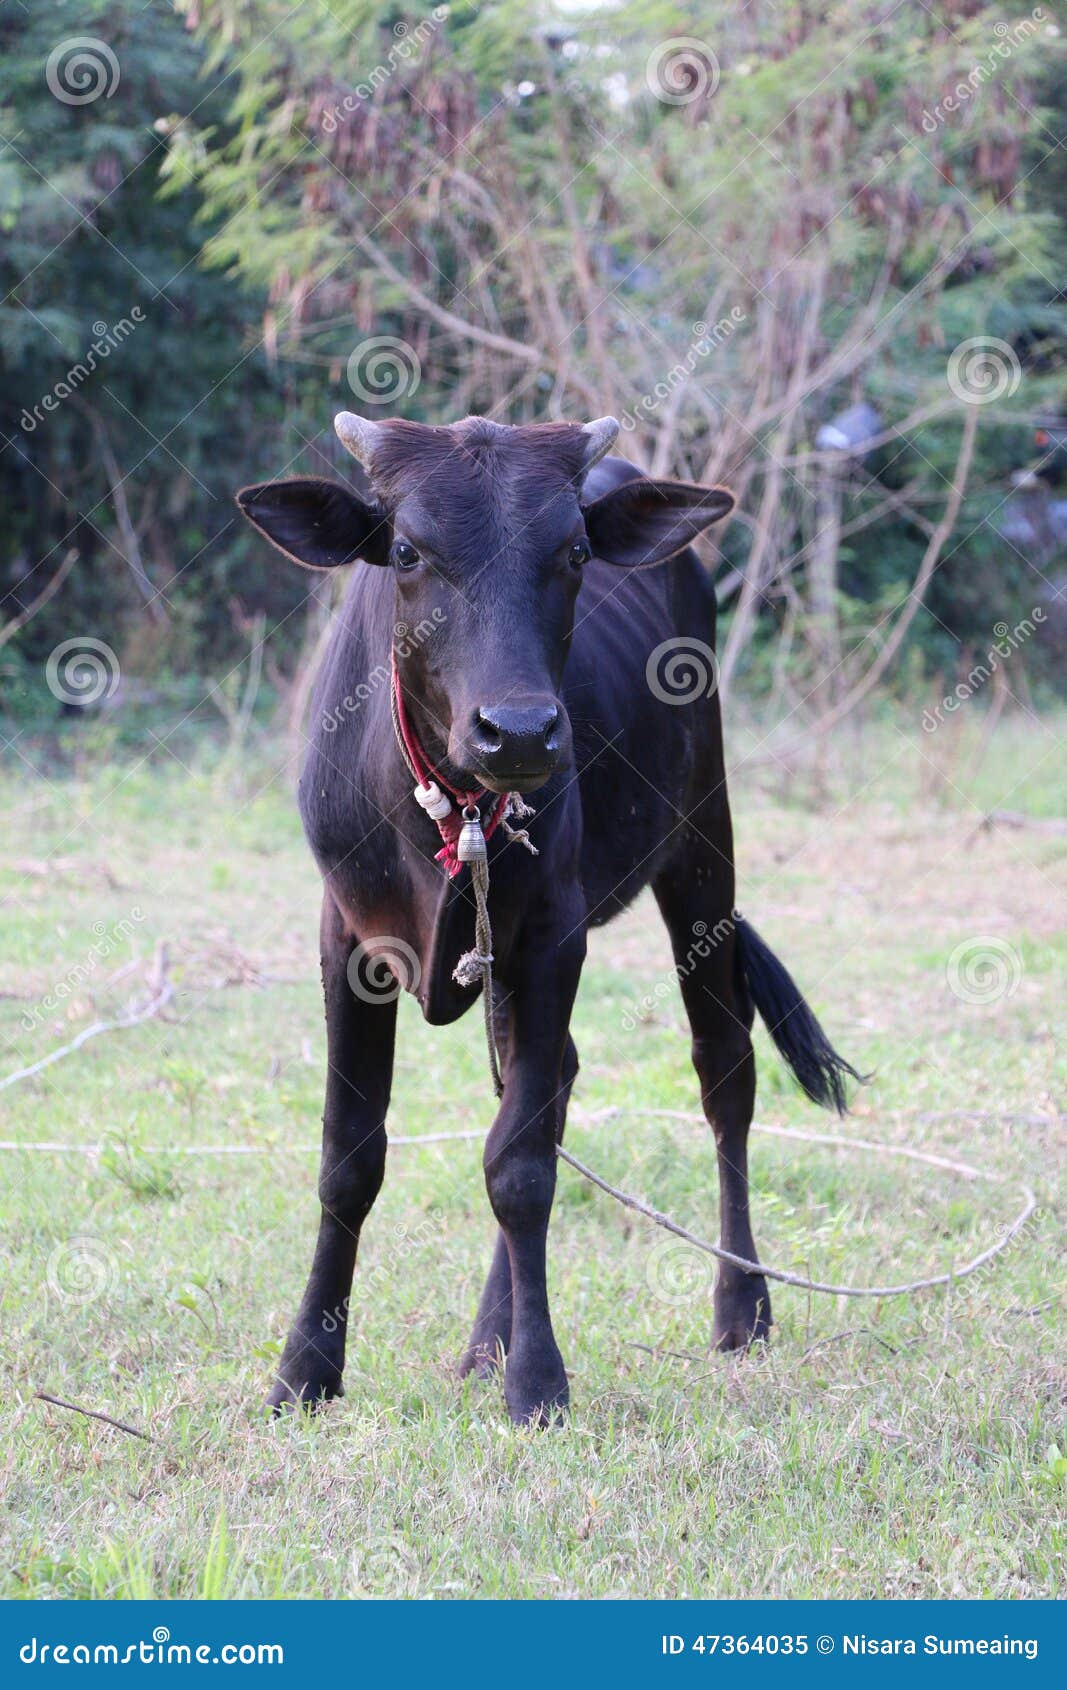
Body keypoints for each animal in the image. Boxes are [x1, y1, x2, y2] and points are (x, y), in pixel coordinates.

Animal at [235, 412, 859, 1426]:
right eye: (406, 551)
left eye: (571, 553)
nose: (520, 731)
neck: (445, 810)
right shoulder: (348, 937)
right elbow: (349, 1159)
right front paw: (306, 1370)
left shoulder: (551, 935)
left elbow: (519, 1167)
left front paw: (537, 1381)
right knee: (553, 1081)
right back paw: (487, 1337)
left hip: (703, 842)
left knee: (722, 1072)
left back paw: (741, 1305)